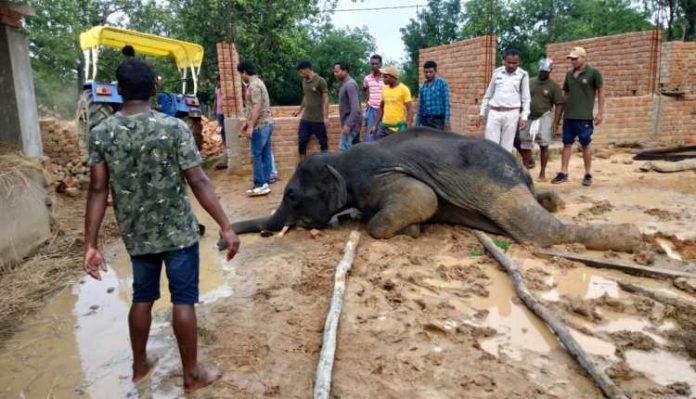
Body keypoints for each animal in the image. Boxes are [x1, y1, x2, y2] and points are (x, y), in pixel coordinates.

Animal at [227, 129, 640, 253]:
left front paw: (409, 230)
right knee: (545, 206)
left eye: (292, 196)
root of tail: (519, 170)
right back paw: (555, 199)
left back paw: (631, 238)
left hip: (499, 185)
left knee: (540, 231)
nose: (220, 242)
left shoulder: (374, 177)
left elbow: (421, 199)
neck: (338, 160)